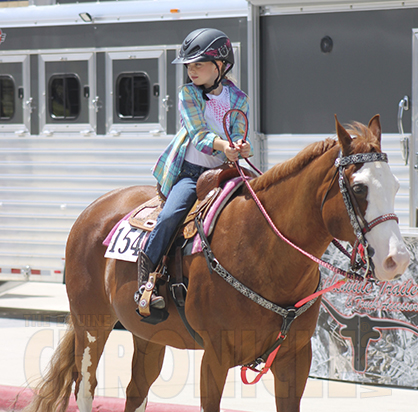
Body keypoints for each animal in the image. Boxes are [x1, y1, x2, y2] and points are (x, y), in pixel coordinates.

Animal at [22, 115, 408, 412]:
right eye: (358, 188)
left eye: (395, 185)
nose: (398, 259)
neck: (263, 252)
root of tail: (94, 210)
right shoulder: (216, 357)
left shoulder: (295, 359)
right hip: (92, 324)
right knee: (86, 388)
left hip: (148, 335)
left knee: (136, 392)